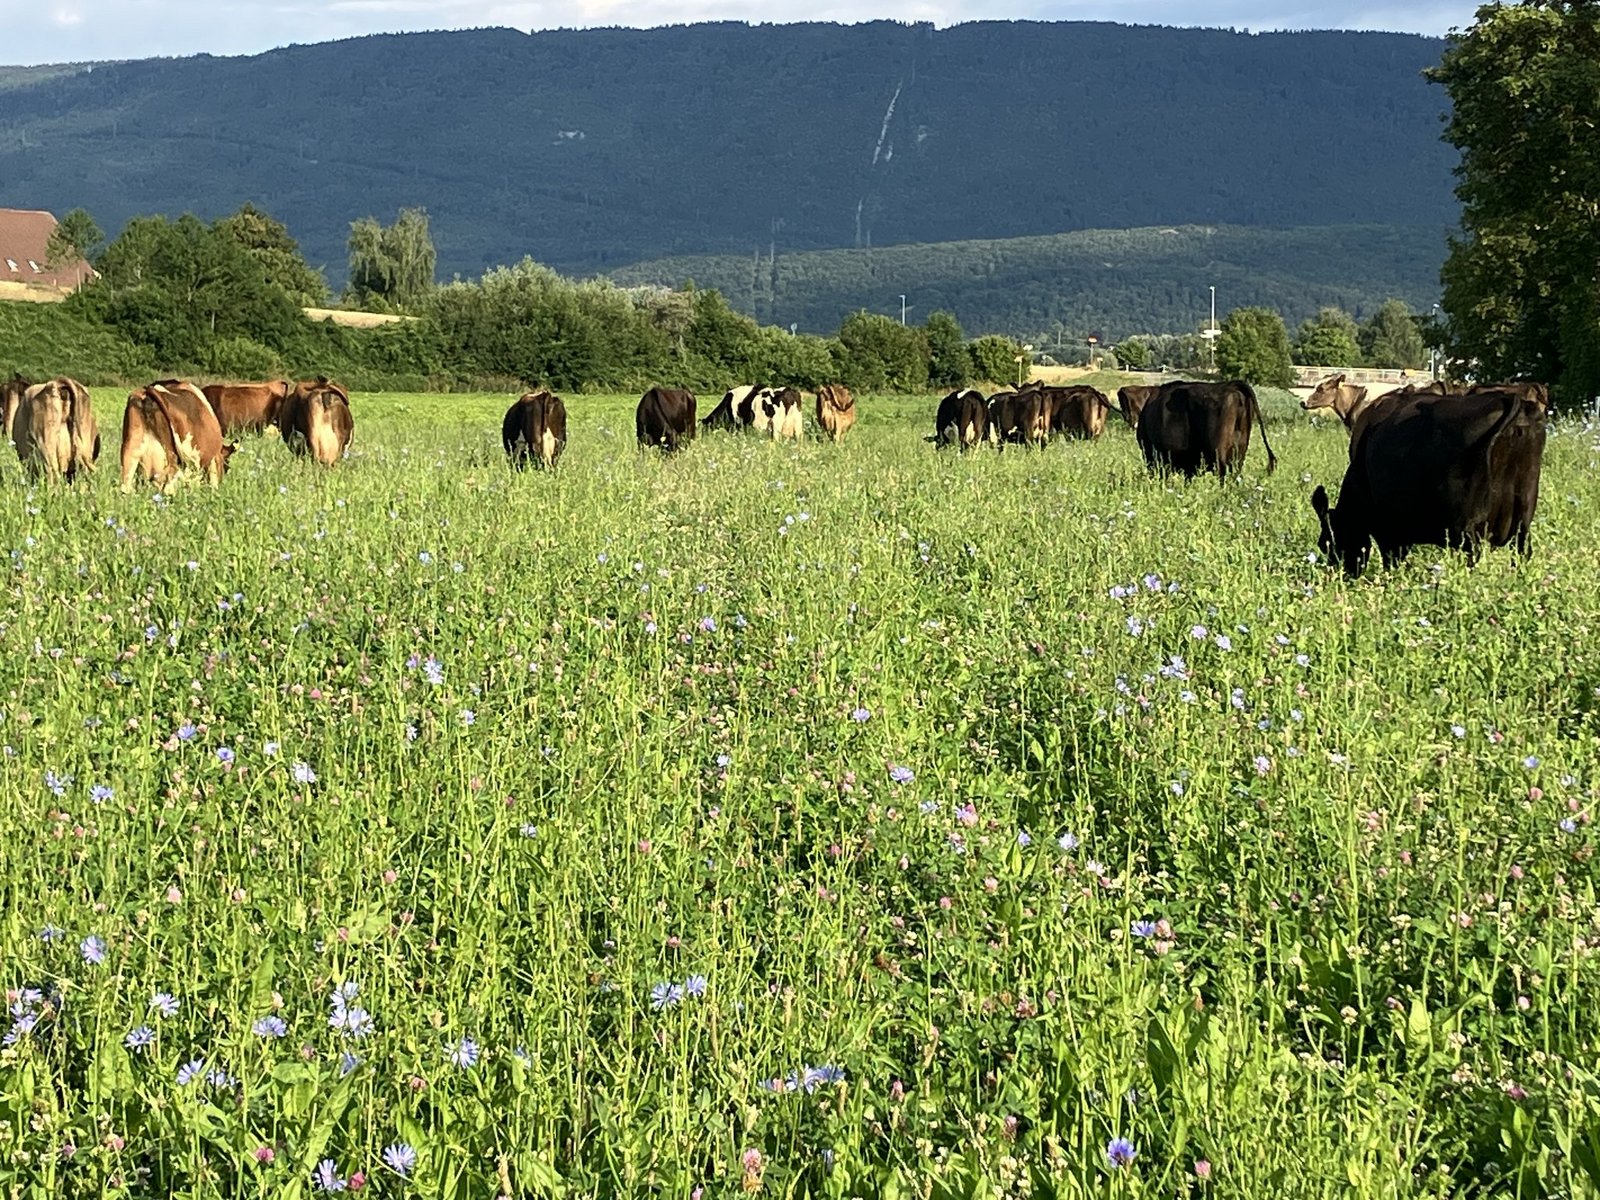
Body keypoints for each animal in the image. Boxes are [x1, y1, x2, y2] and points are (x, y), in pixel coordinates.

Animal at [1311, 389, 1546, 575]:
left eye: (1325, 543)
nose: (1342, 574)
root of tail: (1508, 398)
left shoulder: (1387, 529)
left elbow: (1391, 561)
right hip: (1523, 516)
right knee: (1522, 552)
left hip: (1469, 528)